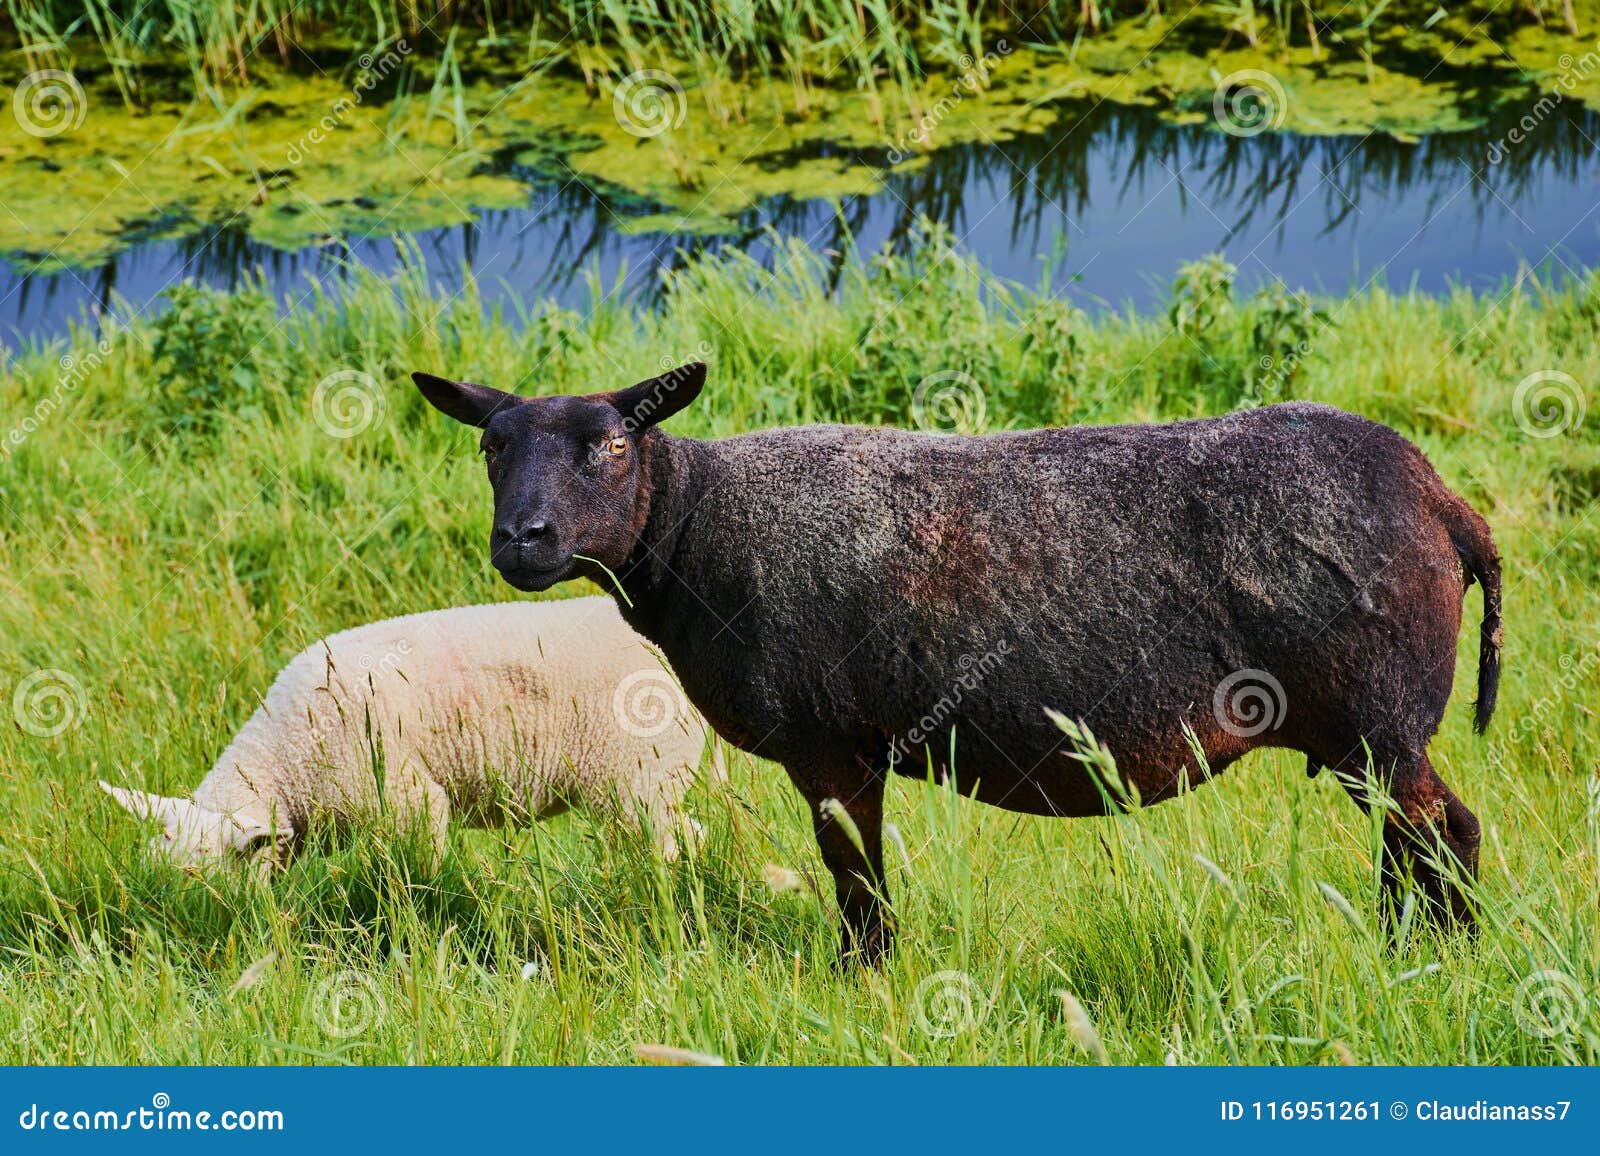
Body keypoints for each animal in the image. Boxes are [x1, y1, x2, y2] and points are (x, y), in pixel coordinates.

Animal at [409, 365, 1497, 960]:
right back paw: (1410, 945)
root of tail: (1443, 502)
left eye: (611, 446)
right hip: (1369, 731)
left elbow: (859, 881)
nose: (524, 540)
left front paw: (864, 978)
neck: (696, 526)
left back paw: (1438, 953)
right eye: (491, 448)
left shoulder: (831, 745)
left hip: (1373, 713)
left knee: (1444, 833)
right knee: (1415, 839)